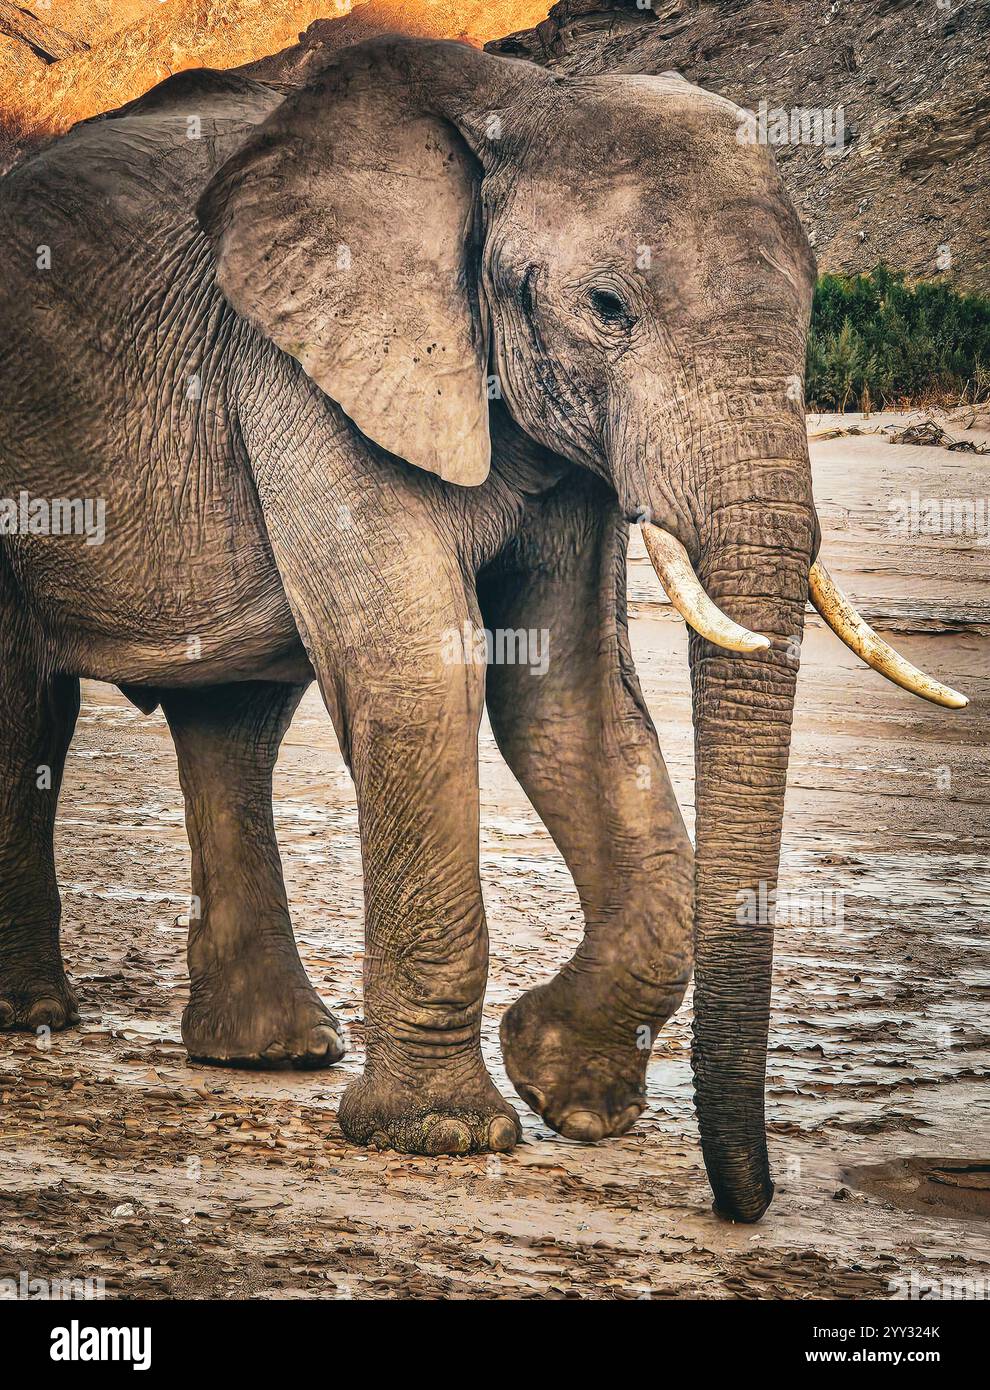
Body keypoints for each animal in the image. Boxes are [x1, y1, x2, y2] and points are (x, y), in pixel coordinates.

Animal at [0, 38, 962, 1223]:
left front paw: (571, 1092)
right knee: (29, 716)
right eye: (607, 306)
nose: (749, 1202)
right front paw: (445, 1136)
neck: (512, 106)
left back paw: (269, 1053)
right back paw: (39, 1020)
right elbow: (419, 671)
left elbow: (570, 700)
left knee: (233, 726)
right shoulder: (304, 363)